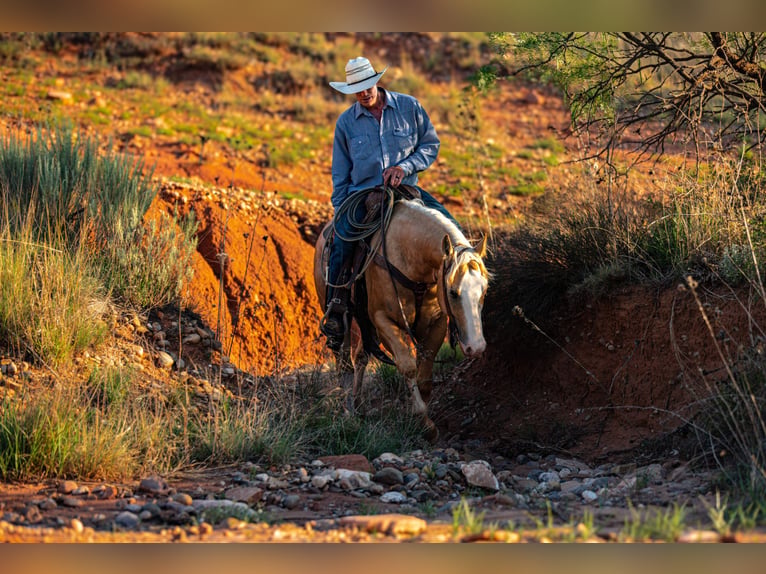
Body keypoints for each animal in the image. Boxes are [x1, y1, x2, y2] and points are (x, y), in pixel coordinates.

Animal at [313, 192, 489, 439]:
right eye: (453, 292)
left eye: (484, 290)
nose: (477, 347)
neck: (411, 258)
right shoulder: (383, 321)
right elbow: (407, 365)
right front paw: (423, 422)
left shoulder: (436, 322)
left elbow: (425, 375)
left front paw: (425, 416)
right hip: (342, 318)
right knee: (345, 361)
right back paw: (349, 413)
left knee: (361, 356)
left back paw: (358, 403)